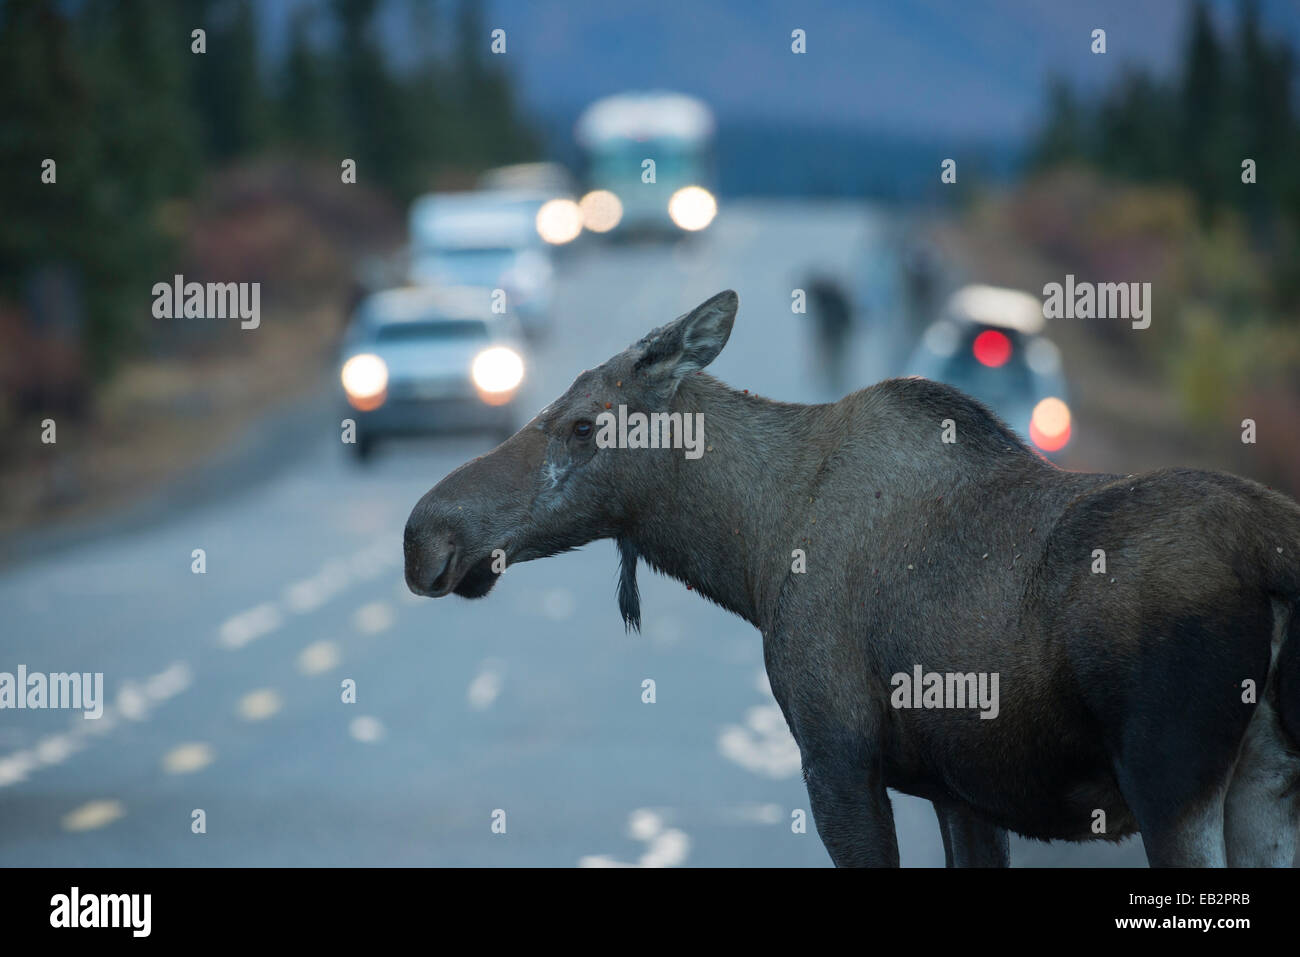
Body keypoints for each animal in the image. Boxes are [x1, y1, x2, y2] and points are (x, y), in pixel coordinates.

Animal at [405, 287, 1300, 863]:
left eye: (584, 425)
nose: (424, 534)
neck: (753, 549)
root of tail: (1276, 553)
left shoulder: (837, 755)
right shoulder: (959, 791)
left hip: (1171, 779)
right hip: (1267, 787)